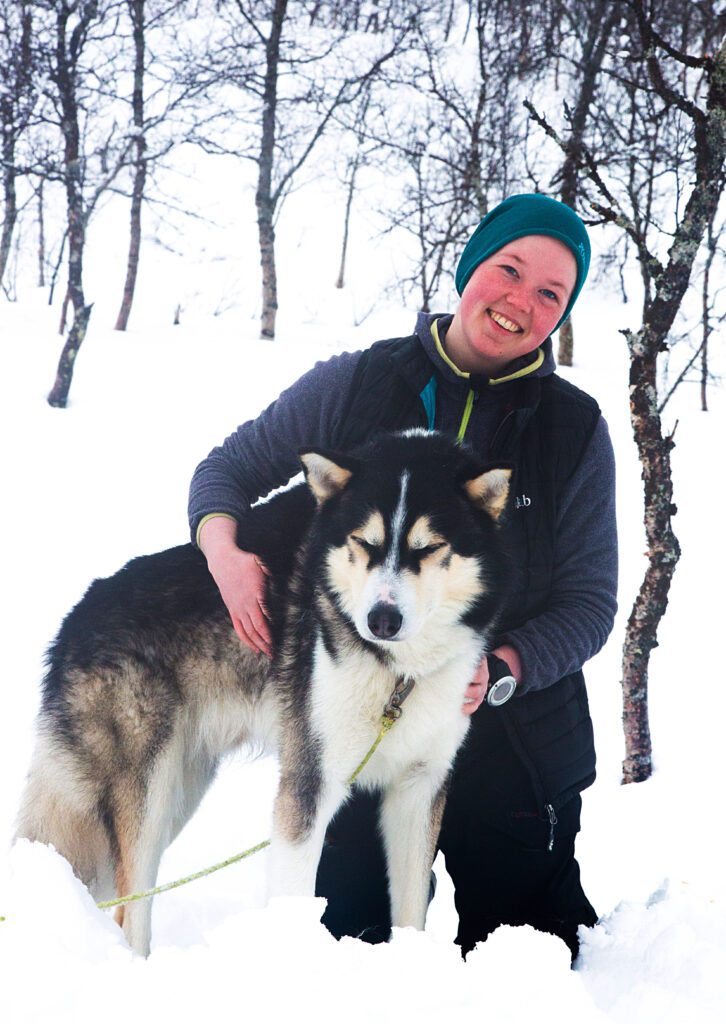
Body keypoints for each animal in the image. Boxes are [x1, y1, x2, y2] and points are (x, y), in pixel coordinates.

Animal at [15, 430, 509, 950]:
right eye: (364, 542)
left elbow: (411, 912)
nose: (381, 619)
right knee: (131, 912)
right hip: (145, 795)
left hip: (179, 791)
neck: (397, 675)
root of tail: (73, 622)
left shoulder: (419, 787)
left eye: (429, 547)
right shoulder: (309, 784)